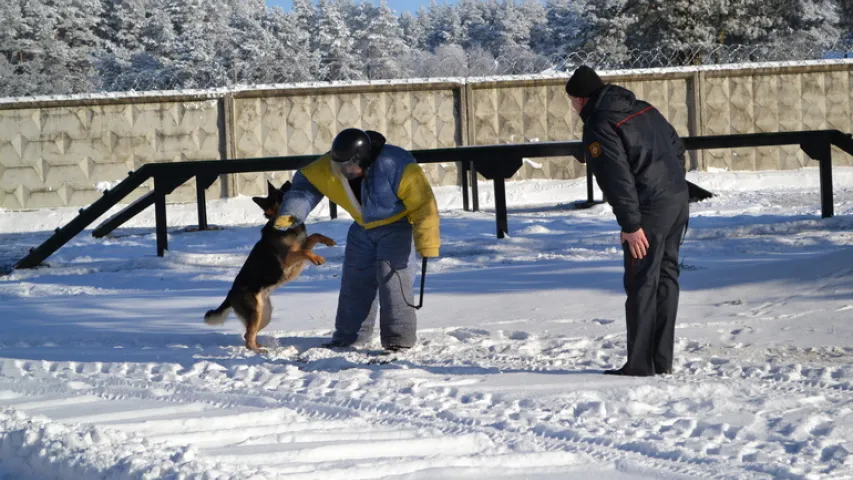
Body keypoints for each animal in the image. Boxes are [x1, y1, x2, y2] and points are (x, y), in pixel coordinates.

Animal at [205, 180, 334, 352]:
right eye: (279, 197)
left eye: (284, 191)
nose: (289, 183)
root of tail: (230, 294)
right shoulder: (289, 257)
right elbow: (305, 251)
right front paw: (317, 258)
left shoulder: (303, 245)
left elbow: (314, 236)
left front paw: (328, 241)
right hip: (255, 313)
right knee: (248, 338)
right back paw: (258, 351)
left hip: (264, 315)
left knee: (248, 334)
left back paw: (261, 347)